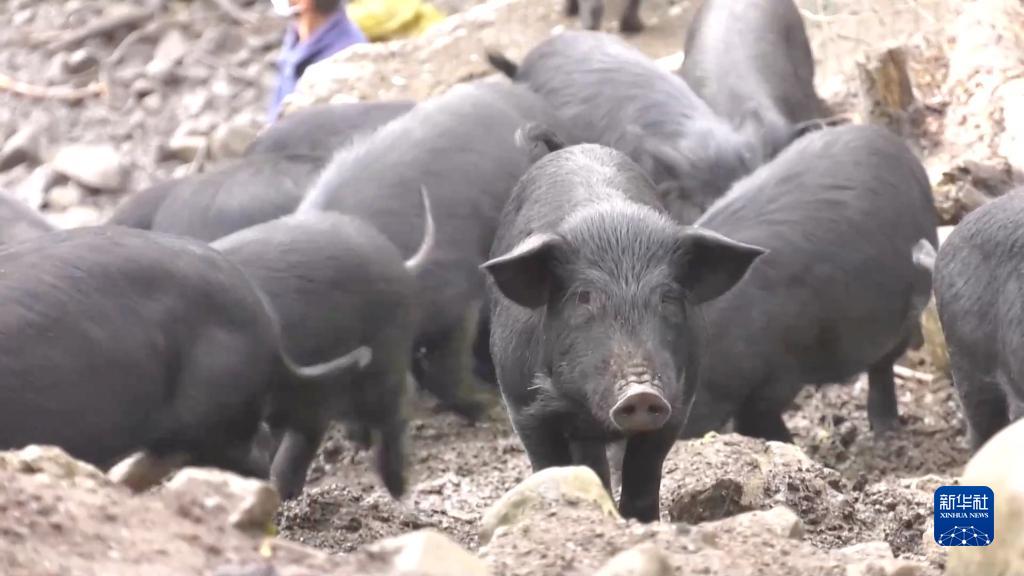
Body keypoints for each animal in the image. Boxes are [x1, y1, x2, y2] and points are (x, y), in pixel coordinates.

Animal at [482, 130, 764, 521]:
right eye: (584, 297)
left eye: (667, 297)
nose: (641, 393)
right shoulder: (521, 404)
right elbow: (548, 464)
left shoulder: (678, 402)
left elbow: (645, 473)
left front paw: (641, 523)